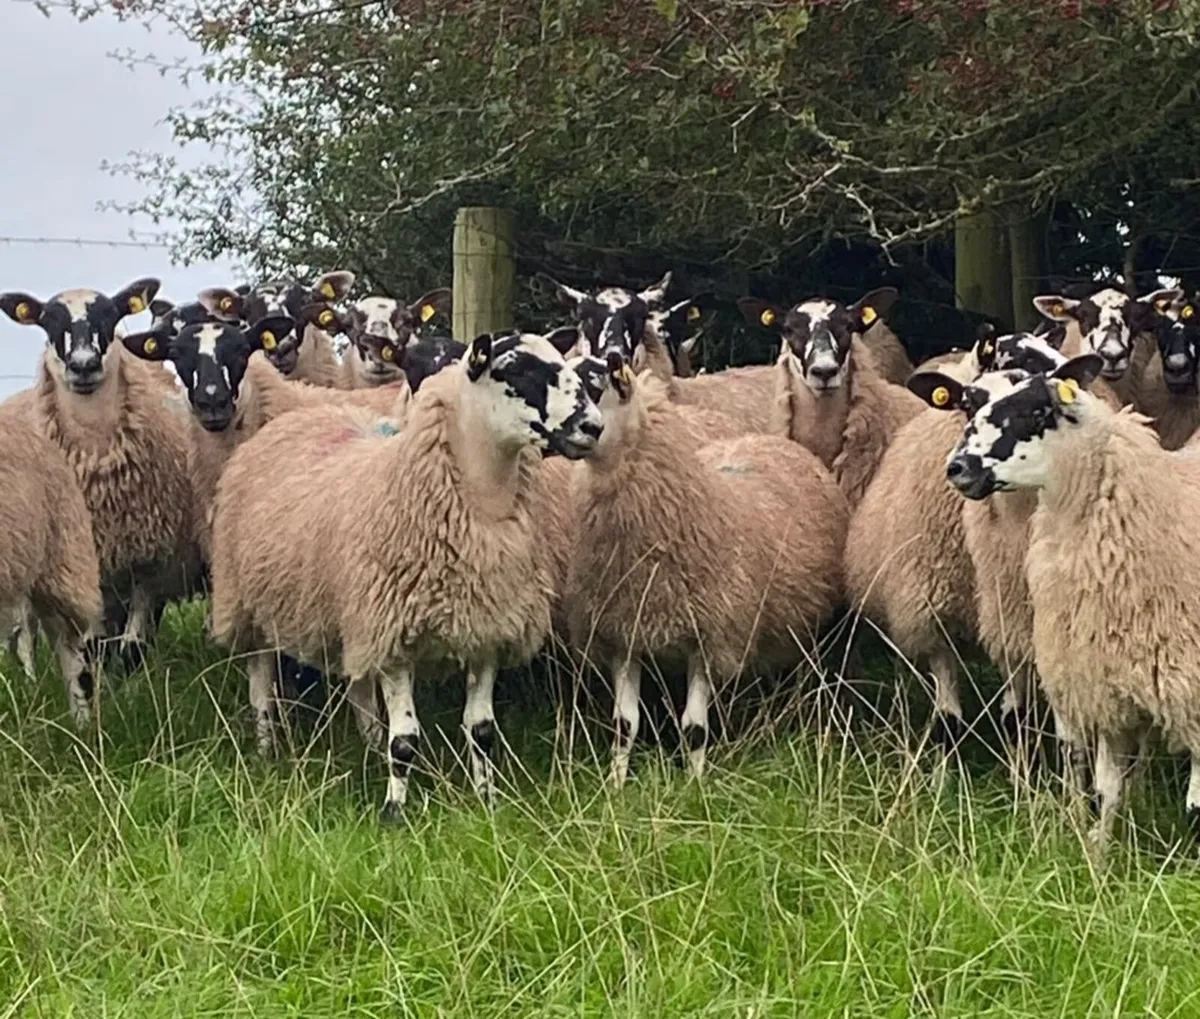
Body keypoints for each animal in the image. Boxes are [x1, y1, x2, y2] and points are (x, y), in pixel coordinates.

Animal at [1, 281, 194, 666]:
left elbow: (134, 639)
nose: (83, 364)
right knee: (24, 632)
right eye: (48, 322)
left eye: (111, 316)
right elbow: (91, 643)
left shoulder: (150, 557)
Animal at [208, 330, 604, 819]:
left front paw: (488, 799)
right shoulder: (395, 637)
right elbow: (405, 741)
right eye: (516, 369)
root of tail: (300, 416)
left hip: (352, 616)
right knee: (261, 684)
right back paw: (267, 748)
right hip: (247, 604)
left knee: (358, 689)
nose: (593, 426)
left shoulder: (485, 634)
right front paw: (394, 811)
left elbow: (482, 731)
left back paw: (367, 744)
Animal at [567, 353, 848, 786]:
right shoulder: (623, 633)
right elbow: (624, 725)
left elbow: (694, 727)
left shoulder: (711, 638)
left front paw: (694, 786)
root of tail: (772, 440)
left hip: (807, 624)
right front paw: (615, 784)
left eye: (593, 386)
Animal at [944, 352, 1200, 852]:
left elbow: (1197, 809)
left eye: (1036, 411)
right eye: (972, 404)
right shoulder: (1102, 687)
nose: (958, 467)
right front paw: (1096, 853)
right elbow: (1105, 790)